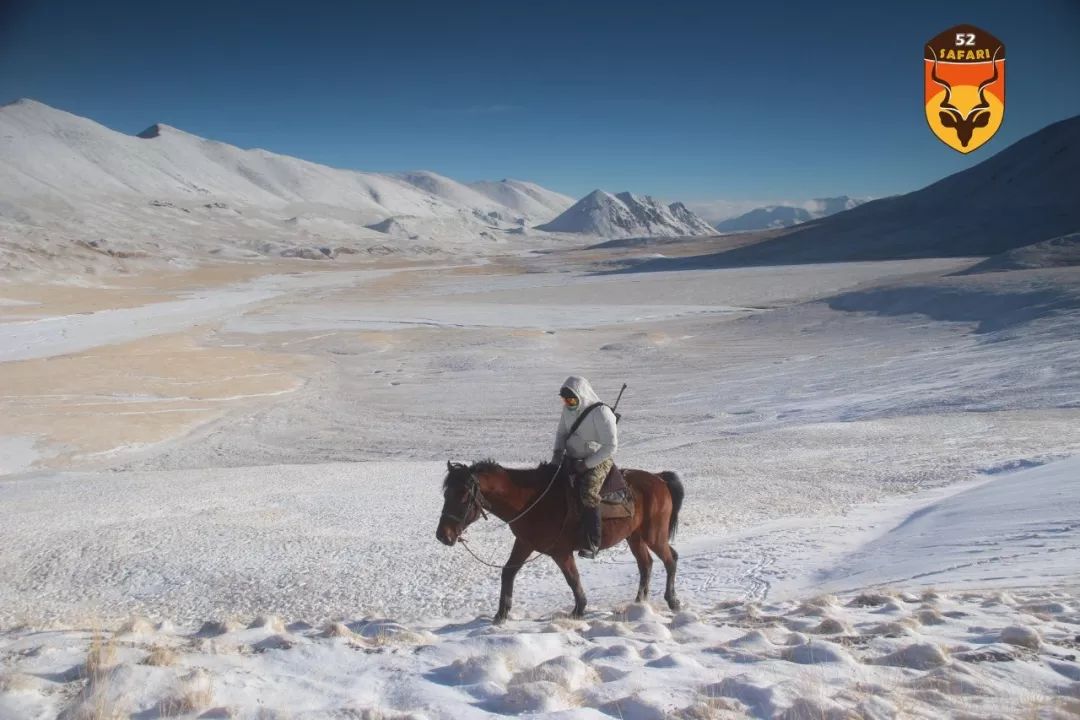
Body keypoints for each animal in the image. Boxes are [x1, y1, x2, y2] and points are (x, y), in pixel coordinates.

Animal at [436, 462, 682, 626]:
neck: (531, 501)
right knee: (646, 564)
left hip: (654, 535)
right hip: (635, 537)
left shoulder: (560, 552)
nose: (443, 535)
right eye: (446, 494)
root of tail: (659, 479)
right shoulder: (524, 543)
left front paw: (578, 610)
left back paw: (672, 601)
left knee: (670, 559)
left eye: (464, 496)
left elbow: (572, 579)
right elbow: (508, 572)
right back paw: (639, 603)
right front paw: (501, 614)